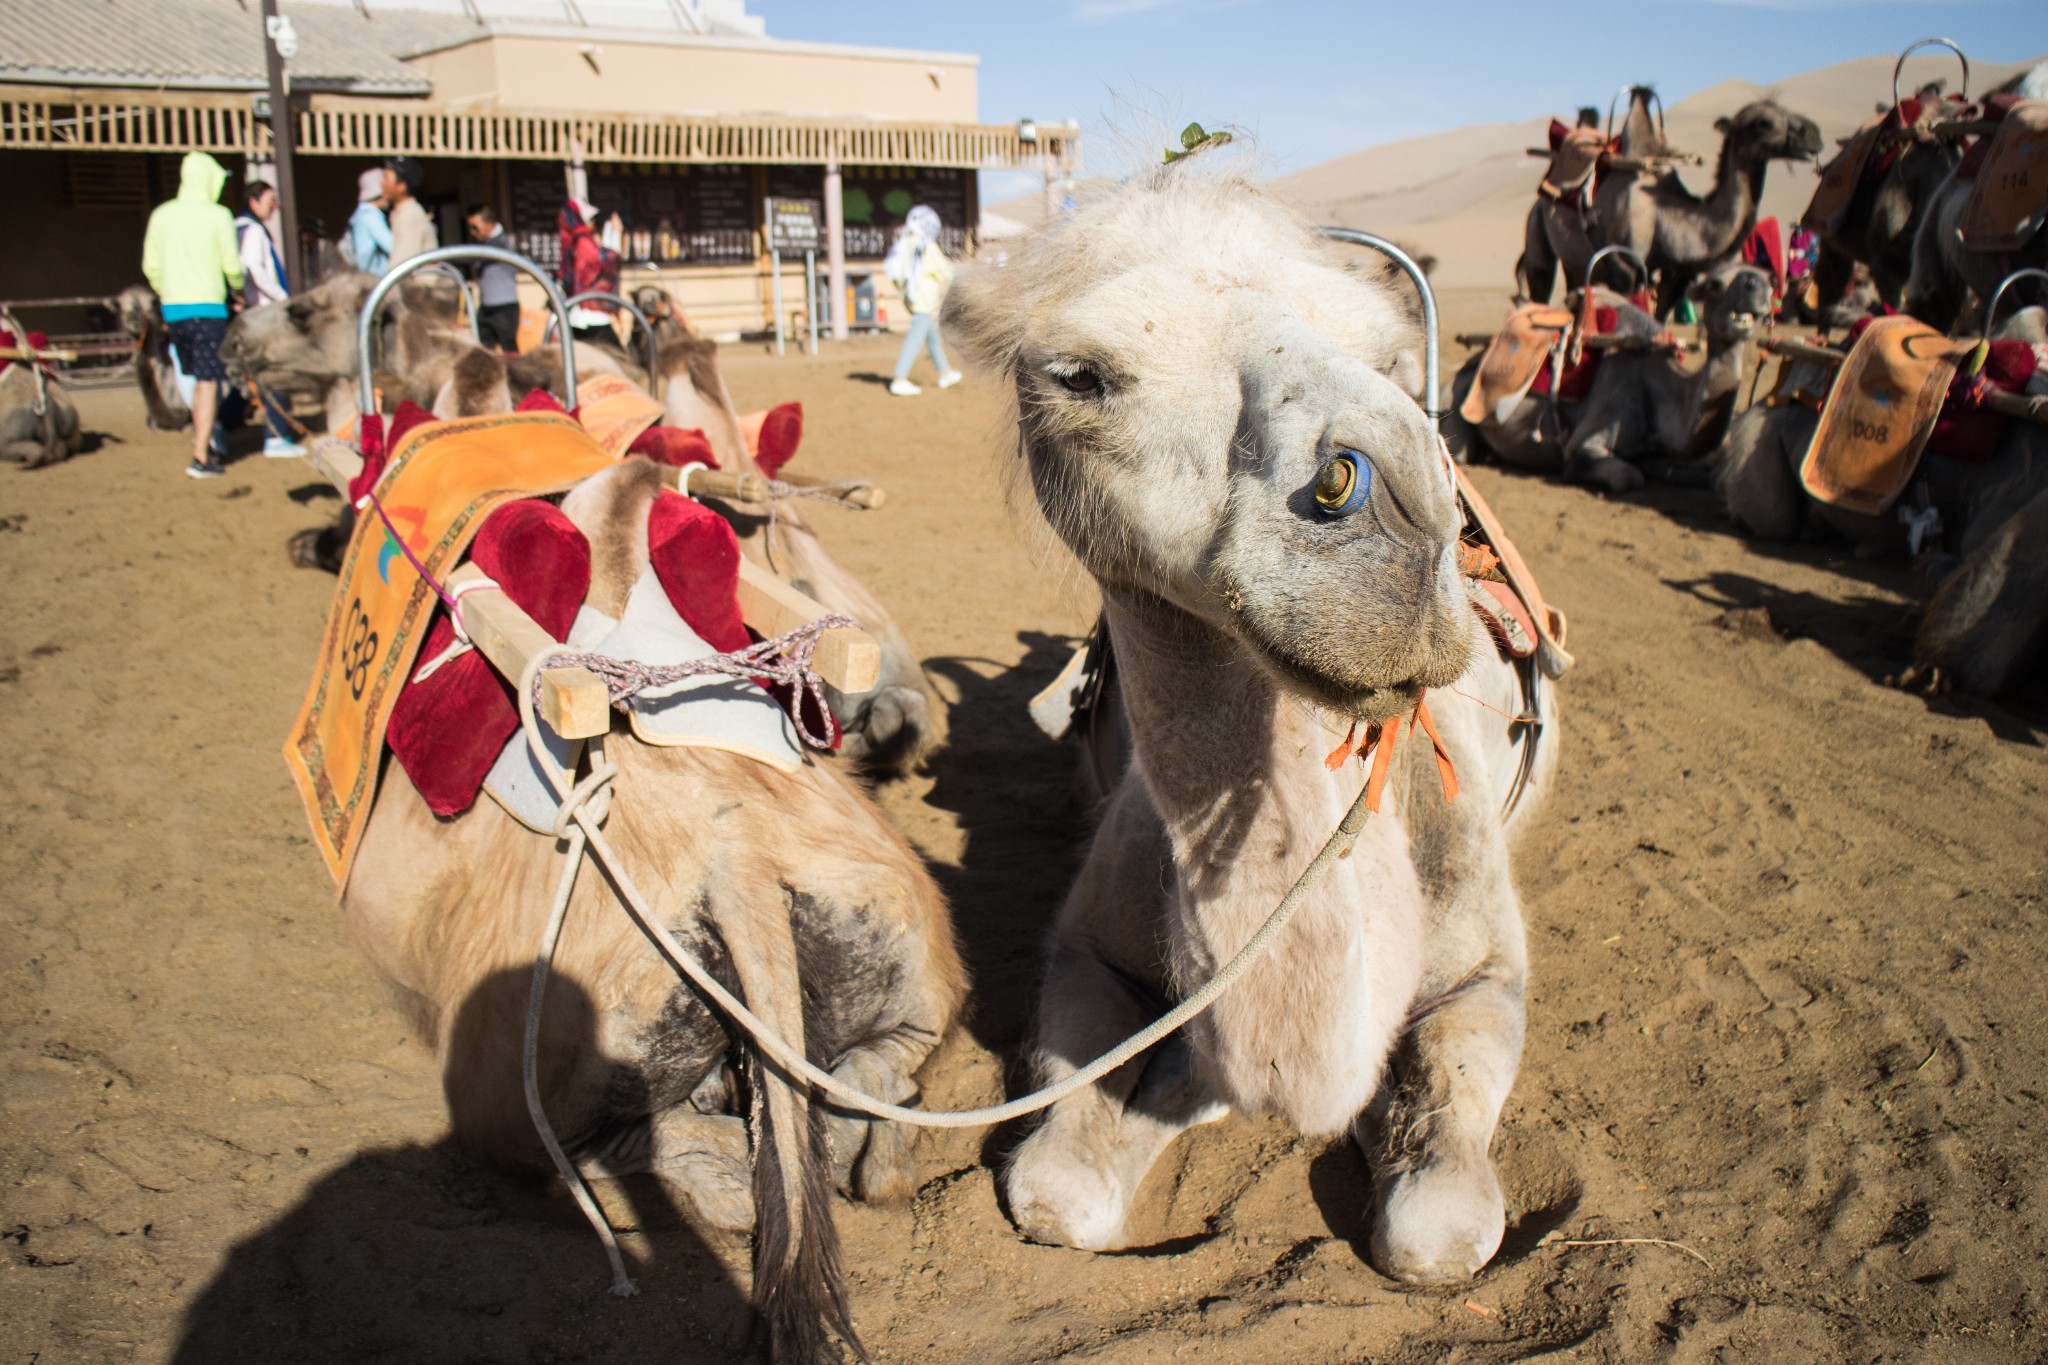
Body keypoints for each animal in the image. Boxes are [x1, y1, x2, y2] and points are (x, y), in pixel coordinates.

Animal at [946, 160, 1564, 1285]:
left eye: (1388, 356)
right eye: (1080, 375)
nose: (1393, 494)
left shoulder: (1486, 975)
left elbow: (1437, 1228)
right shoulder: (1082, 946)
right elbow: (1058, 1188)